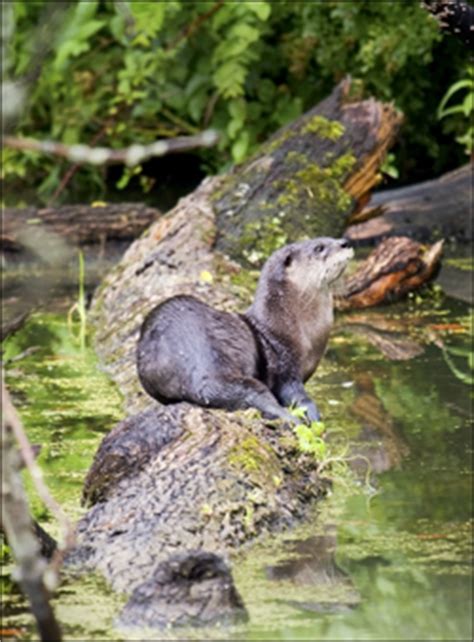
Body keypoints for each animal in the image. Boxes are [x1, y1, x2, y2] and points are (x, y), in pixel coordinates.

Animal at [136, 238, 352, 422]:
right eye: (319, 248)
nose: (345, 242)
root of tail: (200, 377)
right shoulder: (284, 362)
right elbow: (293, 392)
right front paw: (311, 413)